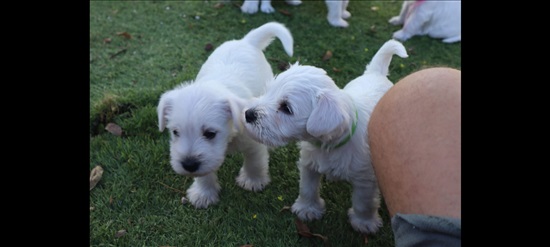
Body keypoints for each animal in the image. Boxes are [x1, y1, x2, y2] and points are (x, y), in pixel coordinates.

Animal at [157, 22, 296, 208]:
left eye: (210, 133)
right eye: (175, 132)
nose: (189, 165)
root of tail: (246, 41)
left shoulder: (253, 142)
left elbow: (255, 162)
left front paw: (253, 181)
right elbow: (205, 172)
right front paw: (204, 194)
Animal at [244, 39, 408, 234]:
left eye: (286, 108)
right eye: (268, 91)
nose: (248, 114)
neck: (328, 145)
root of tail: (376, 74)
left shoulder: (365, 179)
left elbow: (364, 203)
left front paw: (364, 223)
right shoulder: (309, 164)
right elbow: (307, 188)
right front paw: (307, 209)